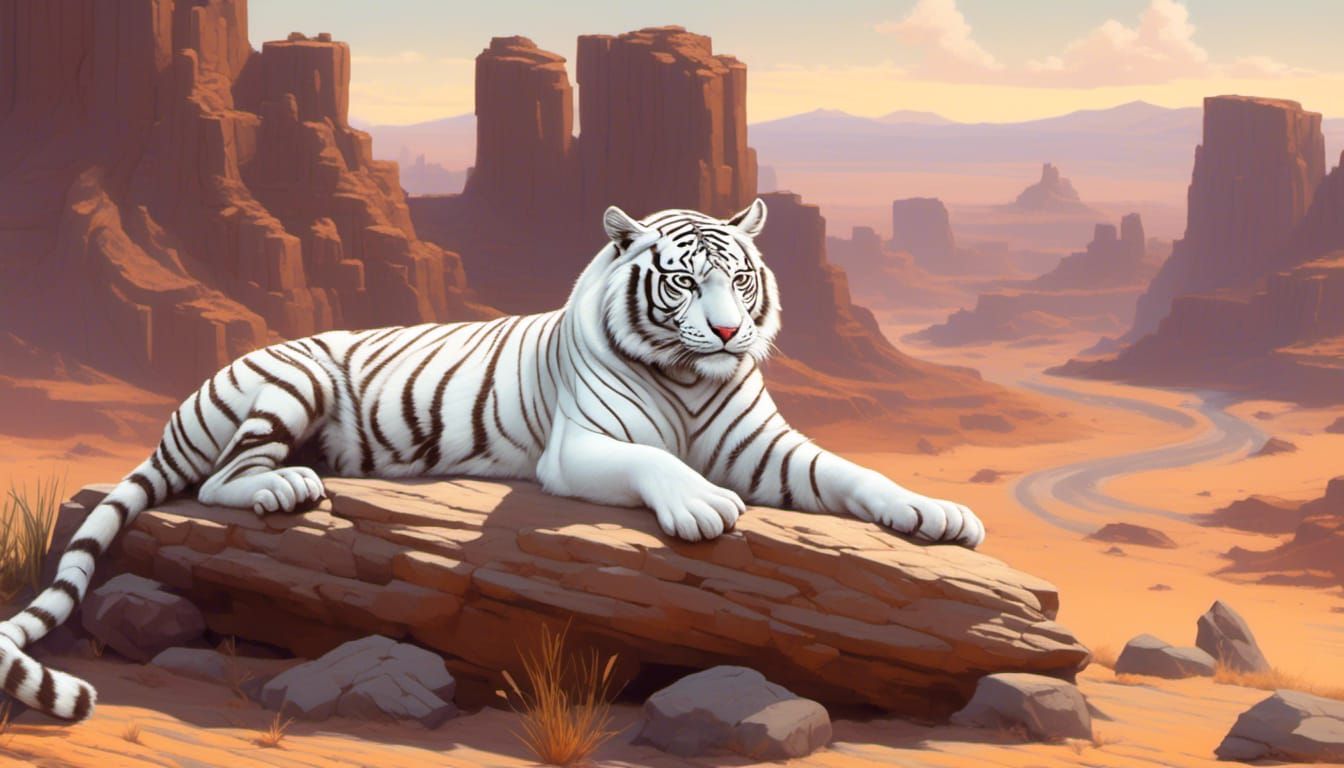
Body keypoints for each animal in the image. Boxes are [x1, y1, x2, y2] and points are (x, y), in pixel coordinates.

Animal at [0, 199, 983, 720]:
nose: (730, 332)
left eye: (739, 279)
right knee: (222, 476)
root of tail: (183, 403)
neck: (691, 379)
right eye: (681, 282)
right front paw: (703, 508)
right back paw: (290, 483)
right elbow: (662, 467)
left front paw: (937, 516)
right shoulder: (582, 448)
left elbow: (854, 476)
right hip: (291, 379)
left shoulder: (766, 446)